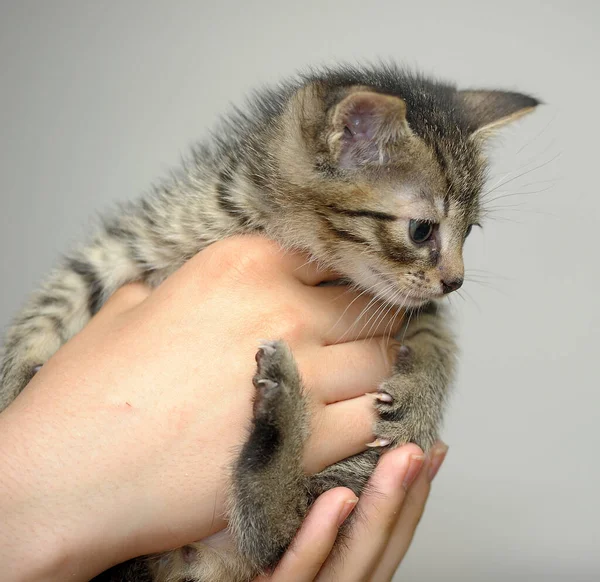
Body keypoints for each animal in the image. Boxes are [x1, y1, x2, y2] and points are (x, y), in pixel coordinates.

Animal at [0, 62, 536, 580]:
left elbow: (439, 341)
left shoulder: (411, 304)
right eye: (422, 229)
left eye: (470, 232)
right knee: (273, 538)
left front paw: (419, 399)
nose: (455, 282)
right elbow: (55, 300)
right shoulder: (137, 239)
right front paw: (12, 385)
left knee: (277, 534)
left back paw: (276, 417)